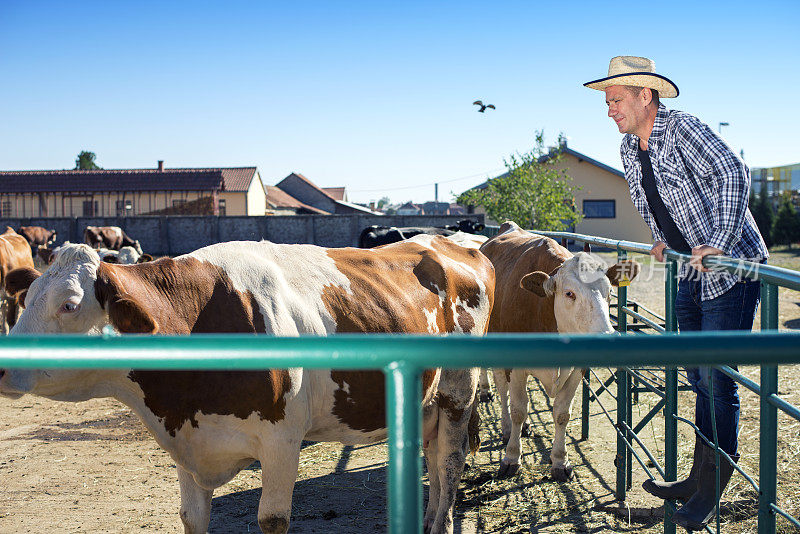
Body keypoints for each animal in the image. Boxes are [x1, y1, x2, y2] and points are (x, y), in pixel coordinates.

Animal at [0, 239, 494, 534]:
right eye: (27, 299)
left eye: (69, 305)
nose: (4, 367)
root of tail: (447, 242)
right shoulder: (190, 445)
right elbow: (192, 517)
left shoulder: (281, 442)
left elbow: (272, 519)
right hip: (426, 400)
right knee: (432, 455)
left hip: (459, 390)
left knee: (449, 461)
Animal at [478, 222, 640, 482]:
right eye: (569, 293)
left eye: (609, 293)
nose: (606, 338)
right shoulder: (516, 365)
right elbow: (518, 409)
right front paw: (512, 457)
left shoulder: (577, 368)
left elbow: (562, 413)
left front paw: (560, 462)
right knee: (502, 387)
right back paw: (506, 427)